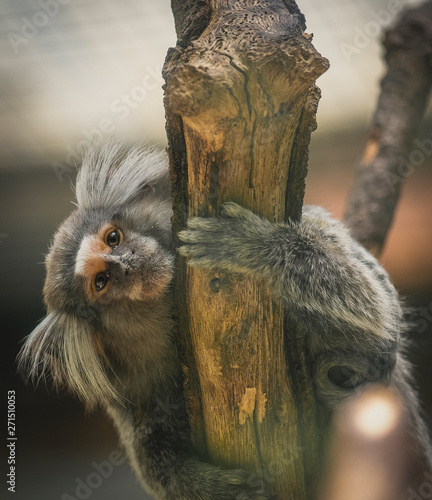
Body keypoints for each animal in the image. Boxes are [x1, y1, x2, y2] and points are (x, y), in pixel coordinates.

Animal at [19, 143, 432, 498]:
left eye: (113, 238)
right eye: (101, 282)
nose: (127, 265)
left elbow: (376, 308)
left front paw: (253, 247)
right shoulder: (133, 395)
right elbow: (157, 467)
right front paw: (221, 489)